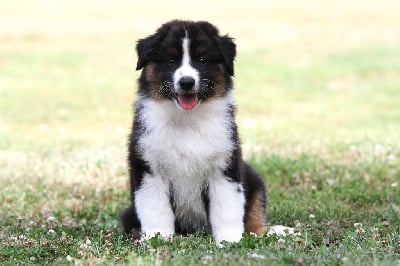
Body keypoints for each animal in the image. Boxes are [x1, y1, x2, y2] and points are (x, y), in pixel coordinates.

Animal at [120, 19, 268, 245]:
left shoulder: (224, 167)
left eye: (202, 60)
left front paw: (229, 242)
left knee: (255, 218)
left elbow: (227, 209)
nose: (187, 82)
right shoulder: (148, 167)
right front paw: (158, 239)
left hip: (254, 179)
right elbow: (155, 209)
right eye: (171, 60)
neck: (187, 120)